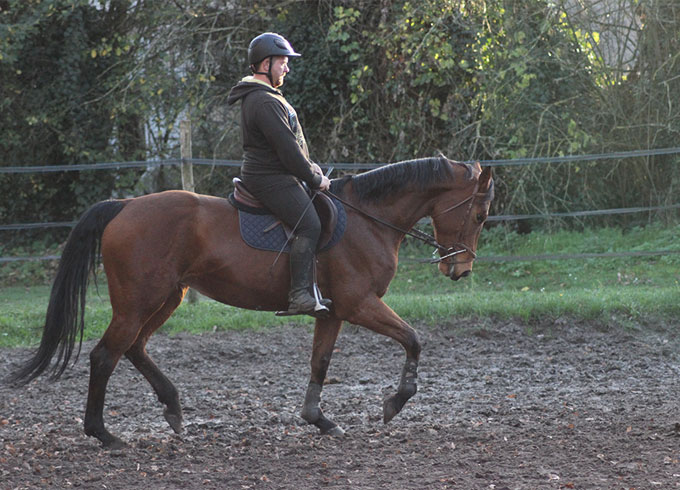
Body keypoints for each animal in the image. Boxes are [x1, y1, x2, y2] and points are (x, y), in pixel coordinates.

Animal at [7, 156, 492, 448]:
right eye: (480, 213)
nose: (461, 269)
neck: (368, 220)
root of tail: (125, 206)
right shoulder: (359, 304)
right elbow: (413, 340)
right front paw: (395, 403)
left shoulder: (333, 311)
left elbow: (320, 362)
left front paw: (318, 419)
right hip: (138, 303)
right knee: (106, 355)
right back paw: (104, 434)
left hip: (166, 299)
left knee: (134, 348)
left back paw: (173, 408)